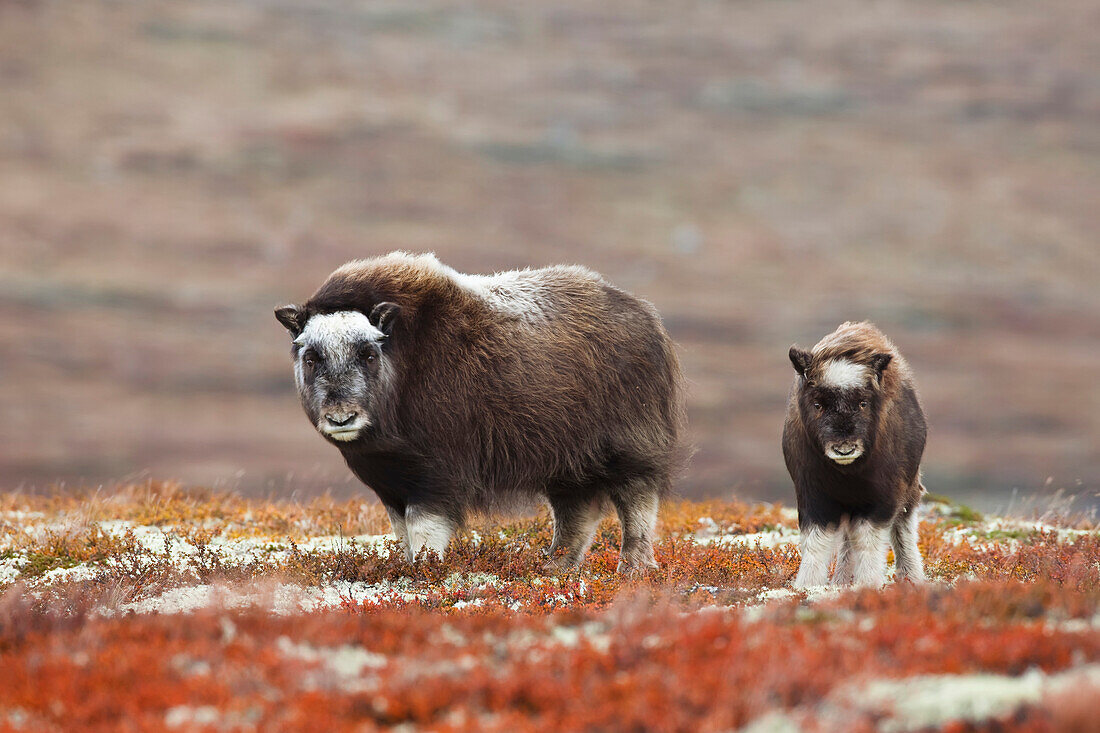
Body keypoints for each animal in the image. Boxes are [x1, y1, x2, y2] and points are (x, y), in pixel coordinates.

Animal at [275, 250, 682, 572]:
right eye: (311, 357)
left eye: (368, 354)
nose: (341, 418)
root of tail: (647, 317)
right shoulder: (392, 485)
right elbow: (402, 532)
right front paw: (407, 567)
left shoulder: (436, 477)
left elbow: (424, 531)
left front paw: (425, 572)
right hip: (567, 465)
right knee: (576, 513)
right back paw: (553, 566)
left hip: (629, 449)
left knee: (636, 503)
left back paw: (632, 568)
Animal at [783, 323, 928, 585]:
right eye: (818, 404)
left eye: (863, 403)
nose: (844, 449)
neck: (846, 472)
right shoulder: (812, 495)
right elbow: (816, 541)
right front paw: (807, 585)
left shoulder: (882, 496)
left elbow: (868, 541)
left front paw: (867, 584)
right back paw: (841, 580)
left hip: (908, 488)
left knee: (902, 530)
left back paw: (911, 578)